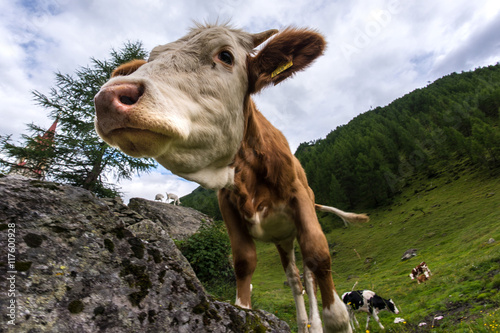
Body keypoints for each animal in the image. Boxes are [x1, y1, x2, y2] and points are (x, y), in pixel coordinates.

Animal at [94, 22, 372, 330]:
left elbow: (319, 257)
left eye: (226, 55)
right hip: (282, 240)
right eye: (150, 60)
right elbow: (244, 261)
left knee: (308, 277)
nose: (108, 98)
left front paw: (336, 320)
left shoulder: (299, 198)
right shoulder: (226, 204)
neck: (248, 177)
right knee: (294, 279)